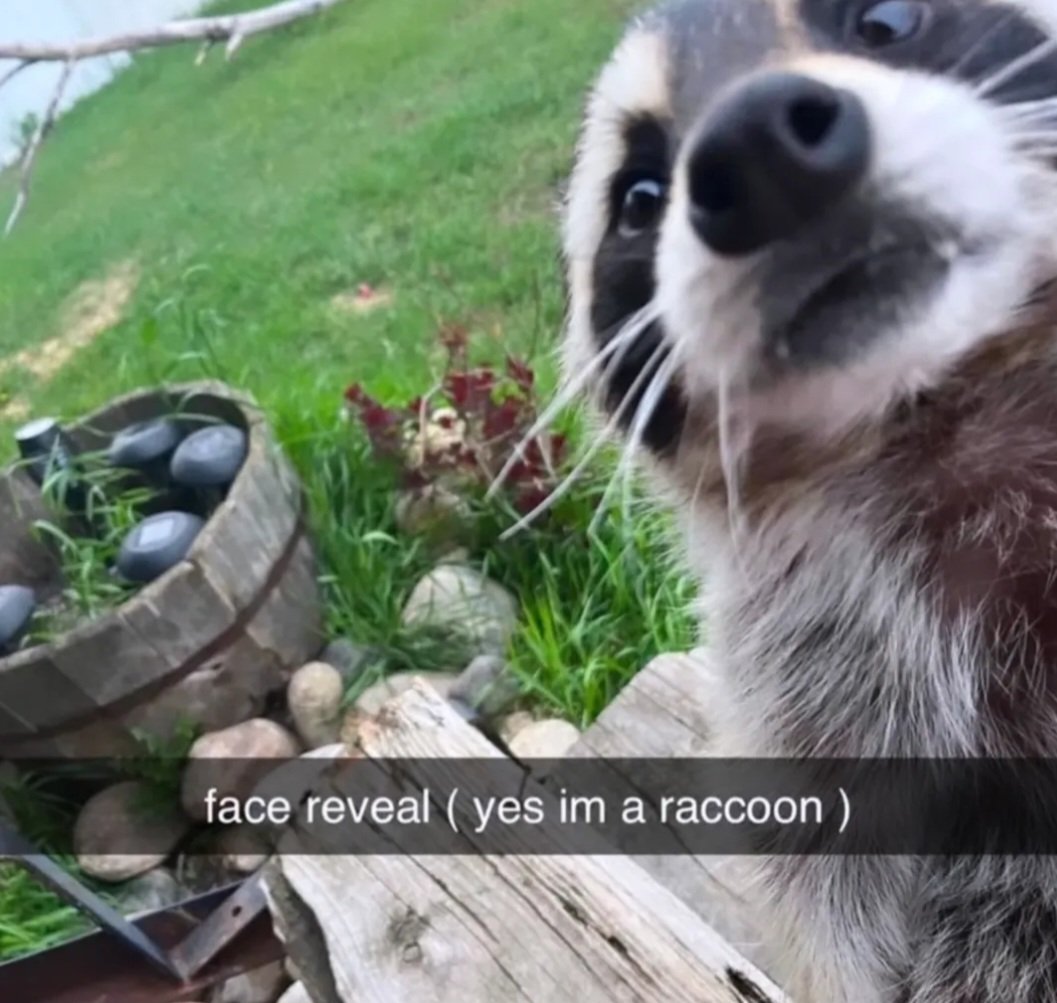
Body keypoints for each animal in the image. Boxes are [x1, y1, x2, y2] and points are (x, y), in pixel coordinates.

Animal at [563, 1, 1057, 1000]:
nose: (757, 147)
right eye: (638, 197)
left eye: (886, 22)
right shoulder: (803, 674)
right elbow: (818, 879)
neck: (929, 398)